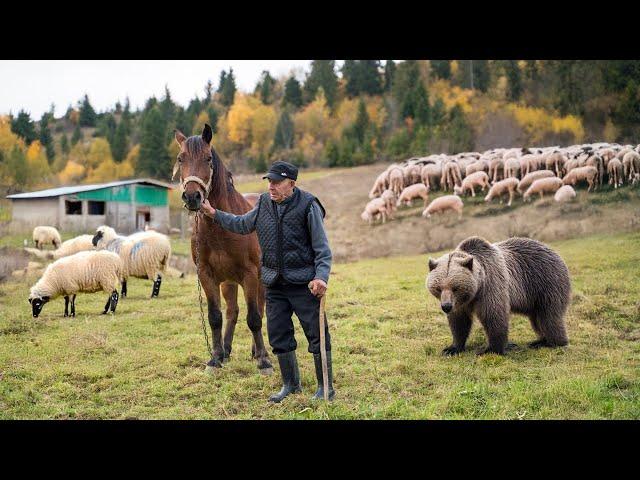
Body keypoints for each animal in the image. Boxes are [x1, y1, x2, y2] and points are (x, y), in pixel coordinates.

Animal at [175, 124, 272, 376]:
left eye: (208, 158)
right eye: (180, 158)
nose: (192, 196)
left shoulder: (250, 275)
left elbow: (254, 317)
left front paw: (264, 361)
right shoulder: (206, 275)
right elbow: (215, 317)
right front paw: (215, 358)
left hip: (260, 280)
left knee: (259, 309)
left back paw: (257, 352)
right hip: (229, 282)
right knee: (233, 311)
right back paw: (227, 350)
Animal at [424, 237, 568, 356]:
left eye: (455, 287)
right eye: (438, 288)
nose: (446, 306)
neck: (476, 290)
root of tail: (554, 252)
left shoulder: (490, 286)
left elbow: (493, 315)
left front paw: (490, 349)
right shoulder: (460, 303)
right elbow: (459, 322)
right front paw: (452, 348)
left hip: (545, 282)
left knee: (548, 316)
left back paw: (553, 342)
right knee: (537, 319)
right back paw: (540, 340)